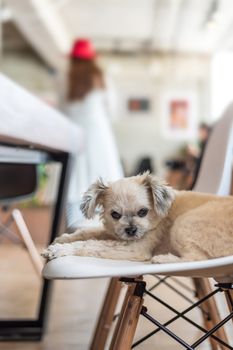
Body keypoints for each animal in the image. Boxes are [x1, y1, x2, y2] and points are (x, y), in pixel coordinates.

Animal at [42, 172, 233, 262]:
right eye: (115, 214)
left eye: (143, 211)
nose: (131, 230)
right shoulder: (113, 233)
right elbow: (87, 233)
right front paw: (63, 238)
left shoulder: (134, 249)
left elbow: (90, 244)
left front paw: (59, 250)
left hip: (183, 223)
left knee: (196, 258)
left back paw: (163, 260)